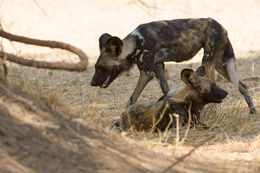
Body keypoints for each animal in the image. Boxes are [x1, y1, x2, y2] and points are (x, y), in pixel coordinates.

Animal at [91, 17, 256, 114]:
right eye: (96, 67)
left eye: (101, 68)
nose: (92, 83)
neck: (136, 42)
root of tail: (221, 26)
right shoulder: (159, 69)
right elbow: (166, 93)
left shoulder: (146, 73)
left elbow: (132, 98)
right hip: (220, 65)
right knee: (243, 86)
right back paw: (252, 111)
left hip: (209, 62)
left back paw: (212, 112)